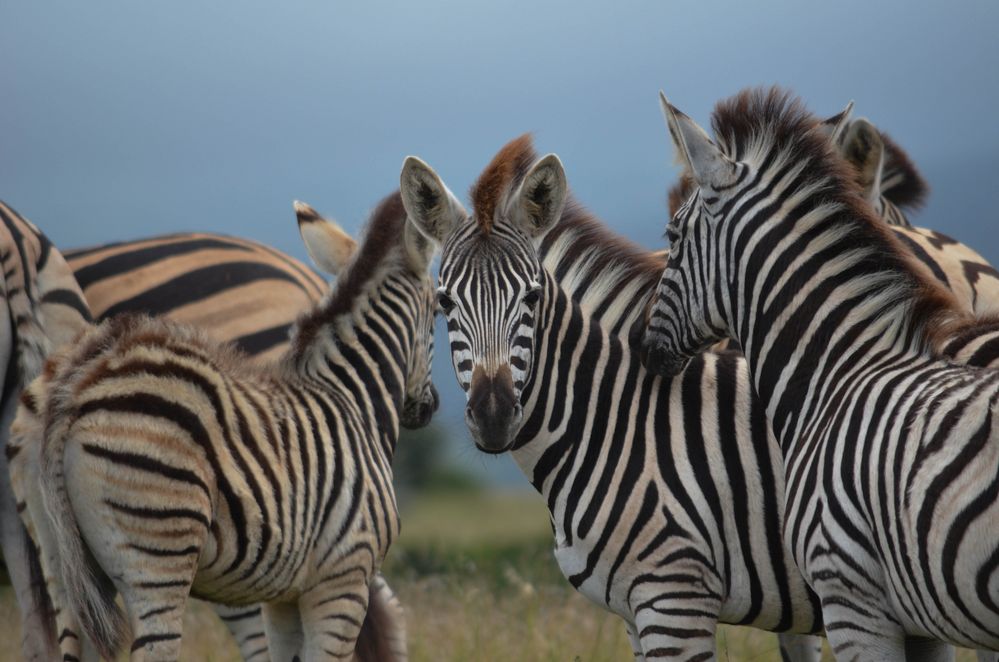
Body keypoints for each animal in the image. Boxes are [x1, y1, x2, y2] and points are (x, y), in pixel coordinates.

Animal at [6, 193, 438, 662]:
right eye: (440, 310)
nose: (428, 407)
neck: (352, 394)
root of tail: (76, 384)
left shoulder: (285, 595)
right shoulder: (343, 578)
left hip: (58, 561)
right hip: (158, 553)